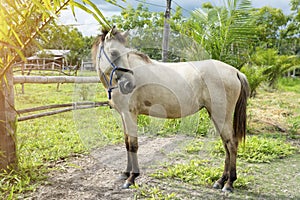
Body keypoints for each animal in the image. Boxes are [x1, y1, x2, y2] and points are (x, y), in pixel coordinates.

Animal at [92, 26, 251, 192]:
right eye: (114, 52)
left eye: (127, 53)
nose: (129, 84)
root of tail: (235, 72)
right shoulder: (123, 116)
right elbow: (127, 143)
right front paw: (125, 173)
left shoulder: (130, 115)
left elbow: (133, 145)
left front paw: (132, 178)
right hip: (217, 116)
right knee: (226, 144)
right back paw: (221, 181)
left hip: (221, 116)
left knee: (231, 144)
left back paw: (229, 183)